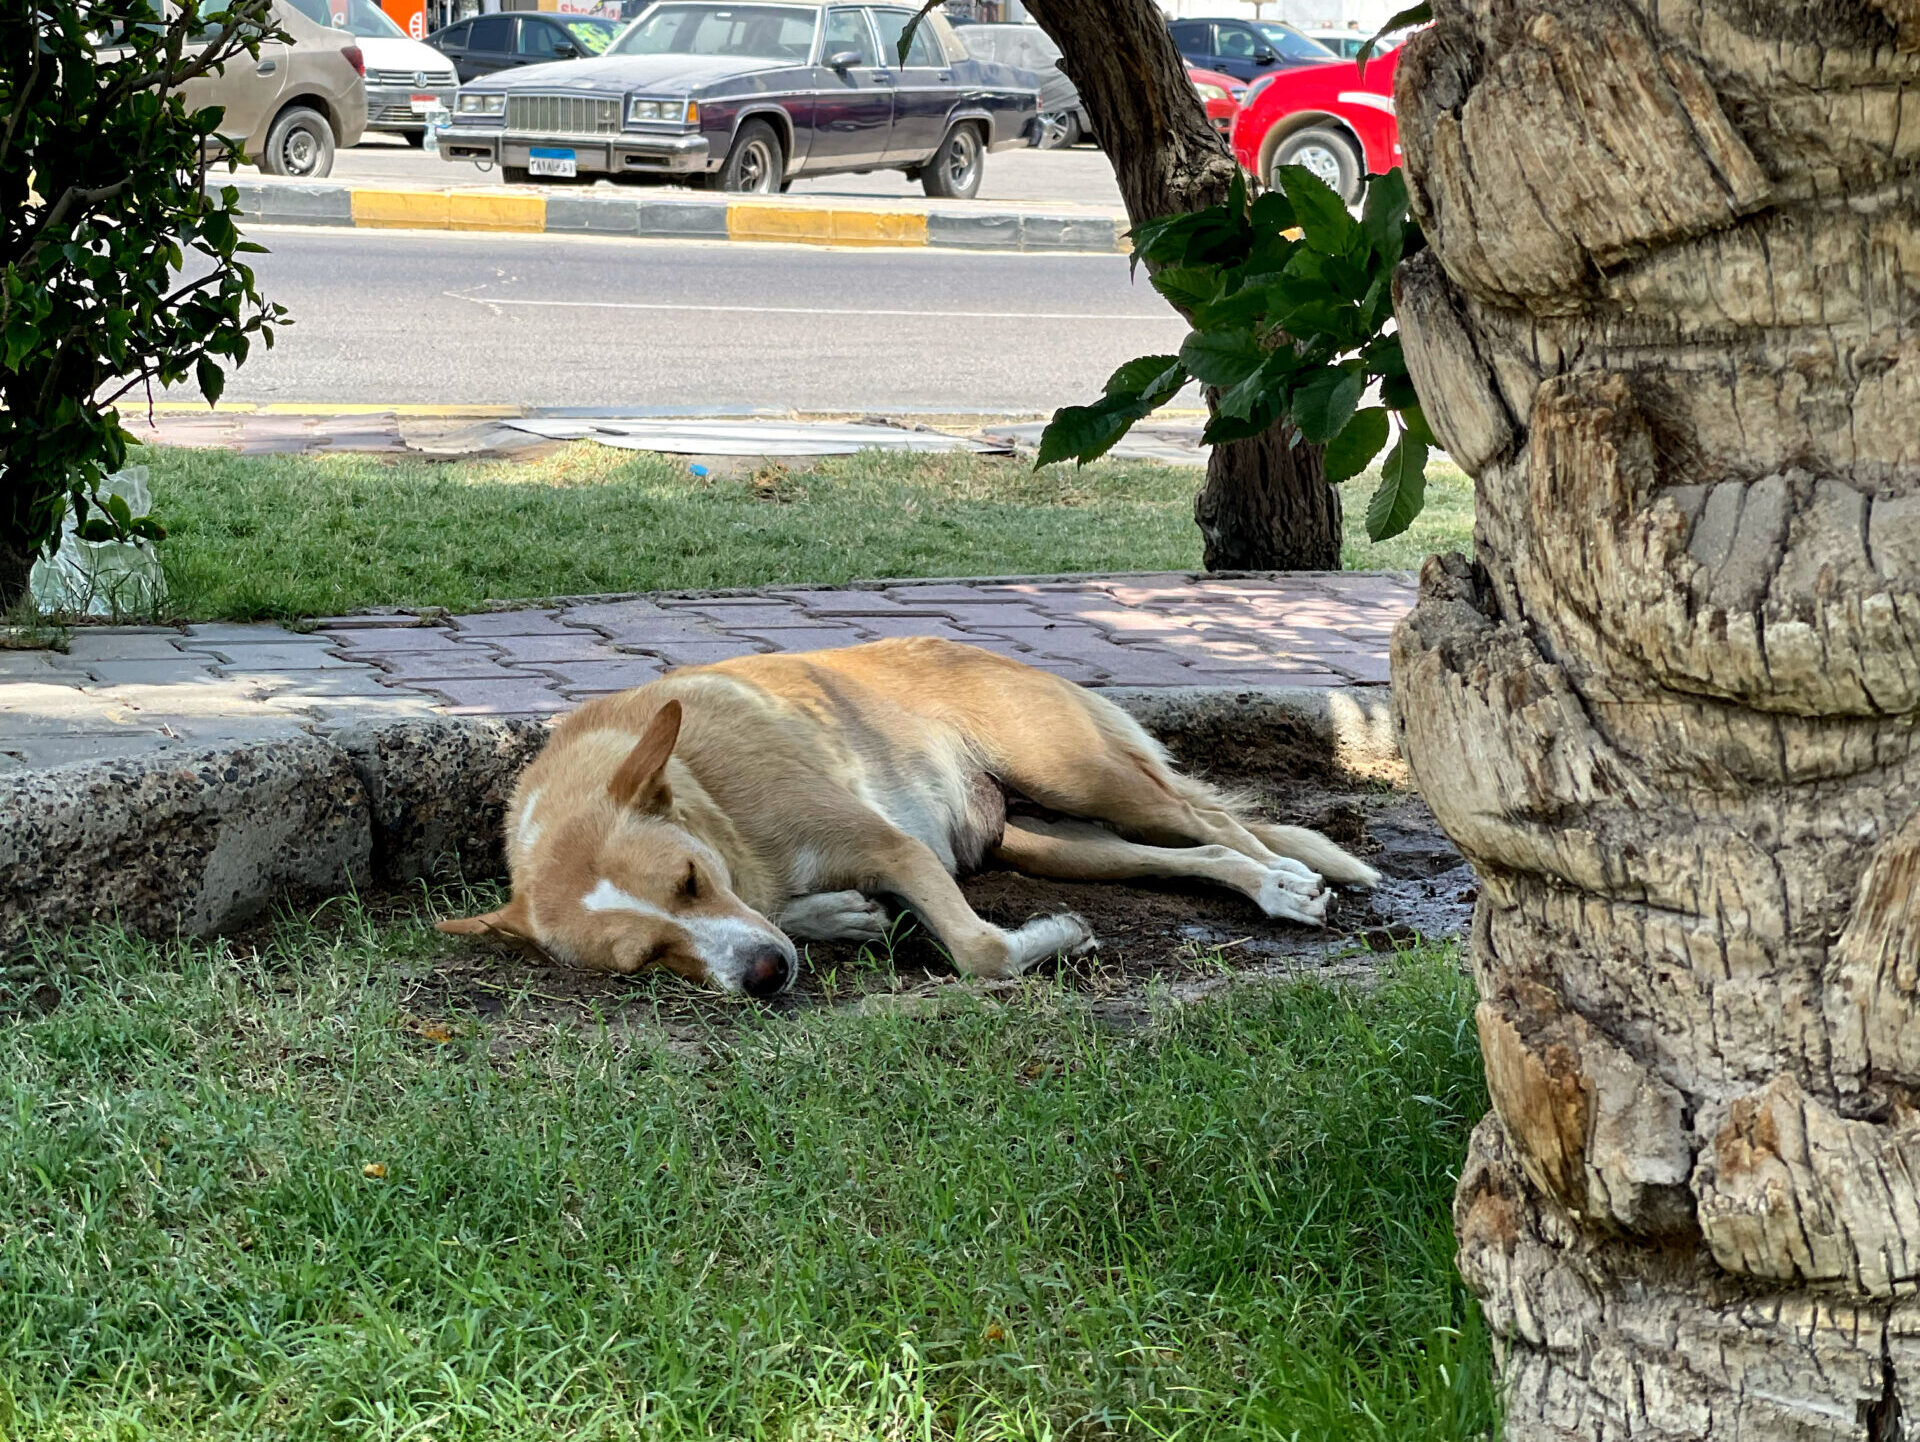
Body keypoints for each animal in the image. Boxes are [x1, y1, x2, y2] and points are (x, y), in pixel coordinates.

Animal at [441, 637, 1382, 998]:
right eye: (646, 960)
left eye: (691, 878)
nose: (766, 977)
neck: (706, 791)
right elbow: (800, 910)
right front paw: (839, 917)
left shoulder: (890, 845)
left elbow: (980, 950)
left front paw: (1052, 939)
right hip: (1059, 843)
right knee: (1190, 857)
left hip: (1087, 779)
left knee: (1215, 823)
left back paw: (1290, 880)